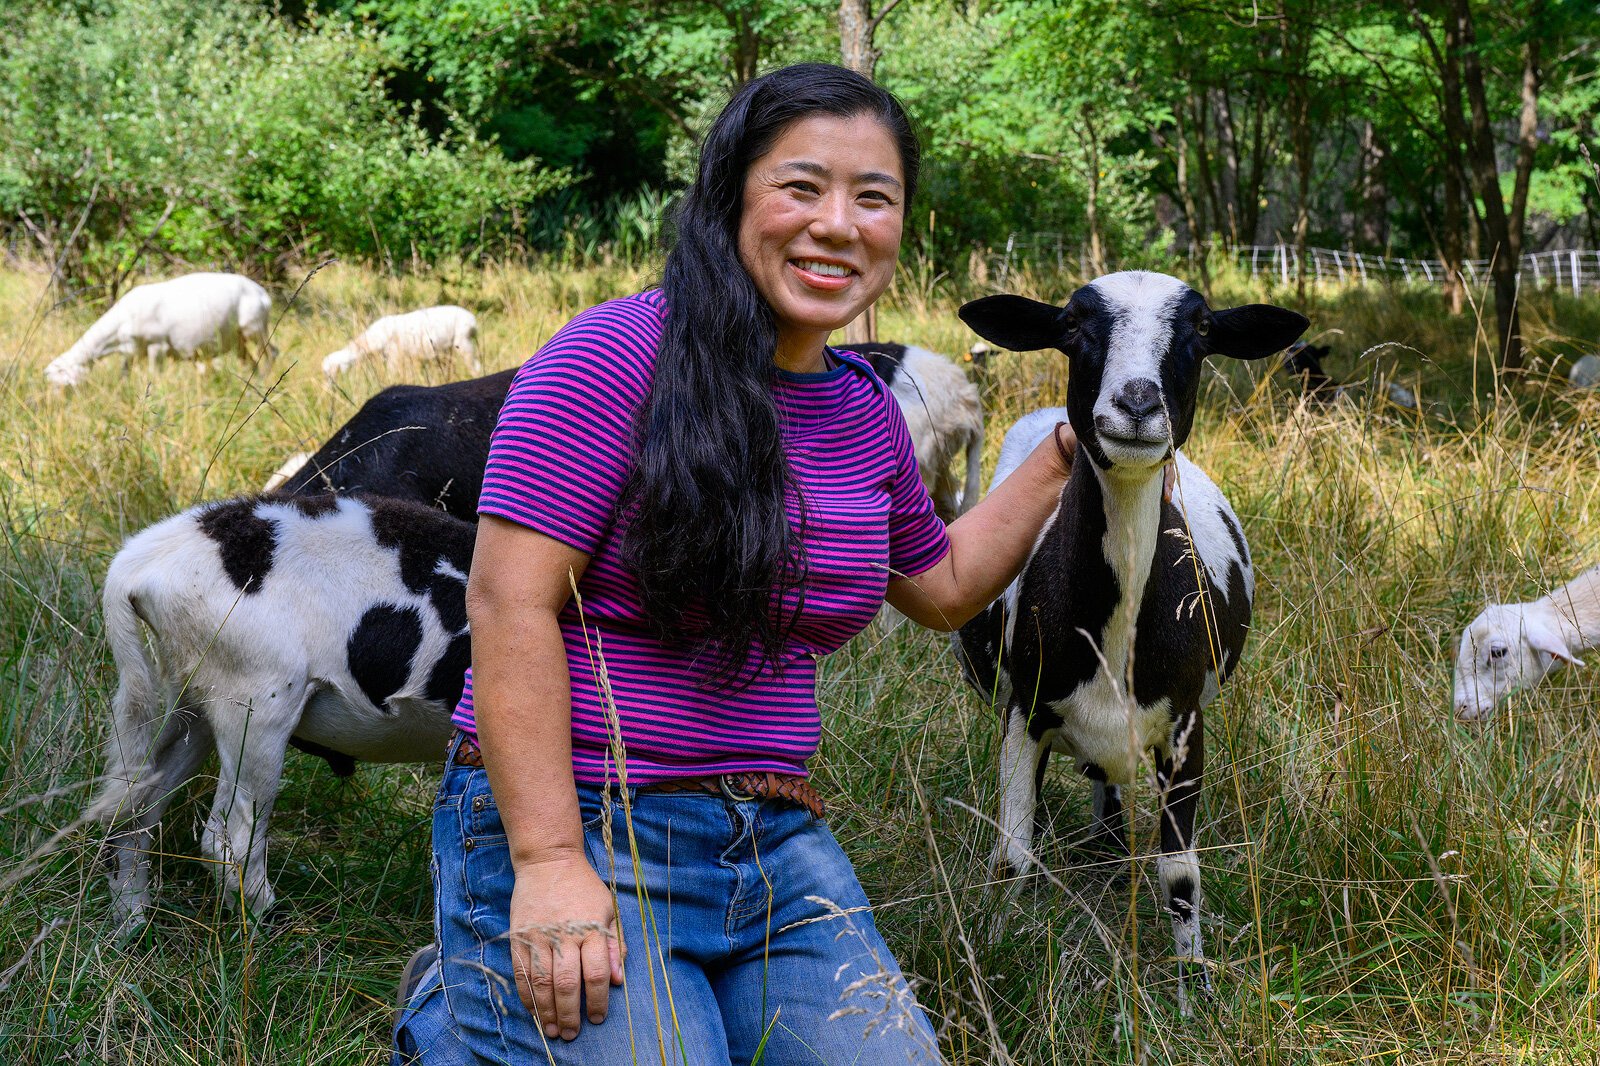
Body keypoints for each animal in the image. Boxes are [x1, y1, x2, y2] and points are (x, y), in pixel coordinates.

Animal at [43, 272, 275, 388]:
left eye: (64, 386)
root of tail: (263, 294)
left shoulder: (158, 346)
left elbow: (154, 377)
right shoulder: (132, 352)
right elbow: (124, 376)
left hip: (255, 328)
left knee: (271, 353)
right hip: (238, 341)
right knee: (252, 362)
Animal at [320, 302, 480, 377]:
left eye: (329, 373)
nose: (328, 391)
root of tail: (472, 320)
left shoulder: (395, 354)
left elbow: (392, 373)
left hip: (463, 342)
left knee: (475, 366)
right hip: (448, 348)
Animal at [953, 270, 1305, 1011]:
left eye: (1202, 329)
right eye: (1072, 325)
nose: (1138, 403)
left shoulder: (1186, 727)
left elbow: (1180, 872)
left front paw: (1194, 987)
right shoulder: (1023, 712)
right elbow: (1011, 859)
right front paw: (996, 953)